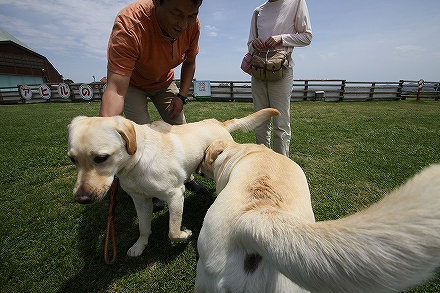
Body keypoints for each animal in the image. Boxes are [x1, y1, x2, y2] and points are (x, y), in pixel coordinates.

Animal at [67, 108, 280, 256]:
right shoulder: (140, 200)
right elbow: (143, 227)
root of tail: (219, 123)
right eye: (72, 159)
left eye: (101, 158)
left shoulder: (176, 195)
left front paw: (185, 234)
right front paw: (139, 246)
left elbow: (173, 231)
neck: (138, 160)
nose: (81, 198)